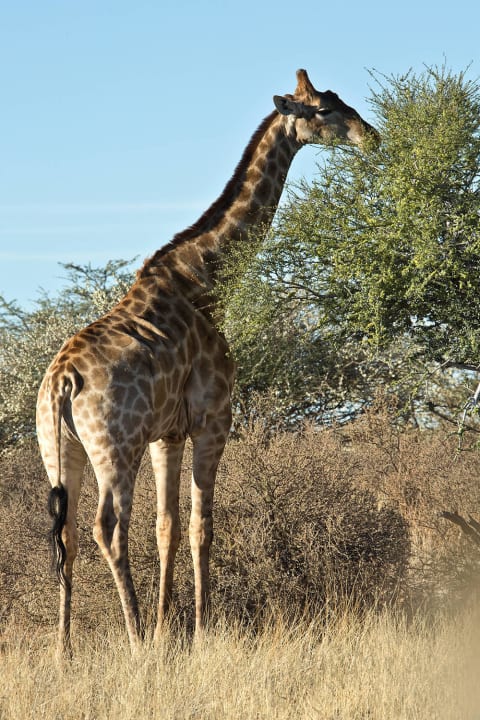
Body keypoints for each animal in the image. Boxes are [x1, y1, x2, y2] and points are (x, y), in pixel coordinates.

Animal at [36, 69, 378, 654]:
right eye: (325, 110)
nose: (371, 136)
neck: (205, 282)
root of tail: (62, 380)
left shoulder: (167, 434)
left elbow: (167, 527)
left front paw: (168, 630)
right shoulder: (214, 417)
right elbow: (202, 526)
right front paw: (197, 633)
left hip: (61, 451)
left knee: (68, 533)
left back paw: (65, 652)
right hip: (114, 447)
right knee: (108, 527)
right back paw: (133, 640)